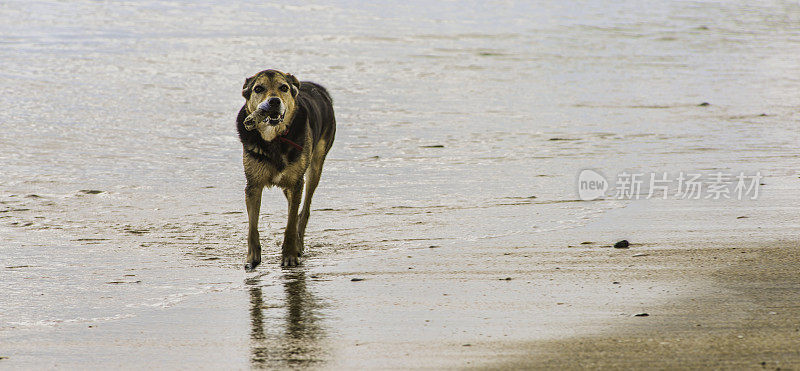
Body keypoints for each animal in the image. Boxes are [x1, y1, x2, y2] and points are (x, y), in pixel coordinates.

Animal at [238, 68, 338, 268]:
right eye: (258, 88)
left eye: (283, 87)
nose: (274, 101)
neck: (274, 139)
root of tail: (315, 86)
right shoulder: (253, 185)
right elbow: (252, 225)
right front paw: (252, 258)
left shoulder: (296, 182)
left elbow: (291, 222)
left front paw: (290, 254)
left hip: (315, 166)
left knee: (304, 210)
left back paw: (299, 243)